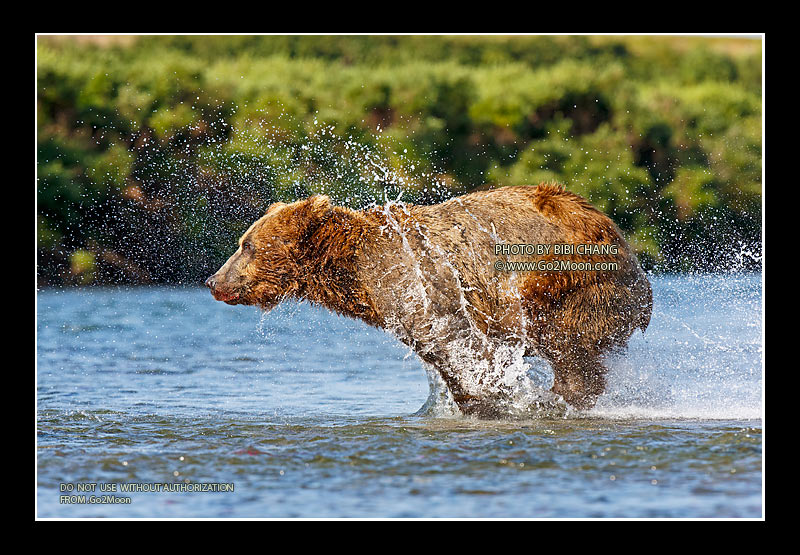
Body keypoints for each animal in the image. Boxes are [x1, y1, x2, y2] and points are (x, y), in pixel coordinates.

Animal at [205, 184, 648, 416]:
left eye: (246, 245)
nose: (212, 280)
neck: (355, 269)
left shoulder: (422, 287)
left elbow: (451, 345)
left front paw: (488, 398)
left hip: (572, 284)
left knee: (569, 348)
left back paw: (560, 396)